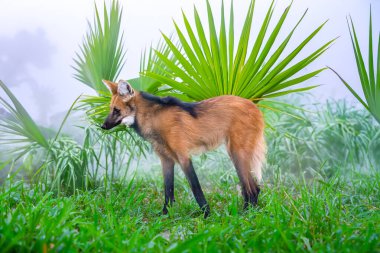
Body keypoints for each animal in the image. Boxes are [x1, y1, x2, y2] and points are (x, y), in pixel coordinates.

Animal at [102, 79, 266, 217]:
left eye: (116, 110)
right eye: (111, 109)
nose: (102, 126)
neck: (153, 119)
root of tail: (253, 105)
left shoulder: (183, 157)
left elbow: (195, 187)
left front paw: (206, 215)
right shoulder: (166, 159)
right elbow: (168, 189)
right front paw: (165, 215)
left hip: (236, 152)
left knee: (251, 187)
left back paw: (245, 214)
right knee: (254, 187)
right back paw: (248, 212)